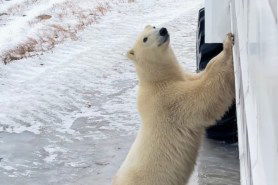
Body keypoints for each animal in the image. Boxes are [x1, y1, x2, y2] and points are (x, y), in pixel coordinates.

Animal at [113, 25, 235, 185]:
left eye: (153, 26)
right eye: (145, 39)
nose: (163, 30)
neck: (157, 80)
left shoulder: (185, 79)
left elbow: (202, 74)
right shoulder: (169, 99)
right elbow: (205, 94)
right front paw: (227, 46)